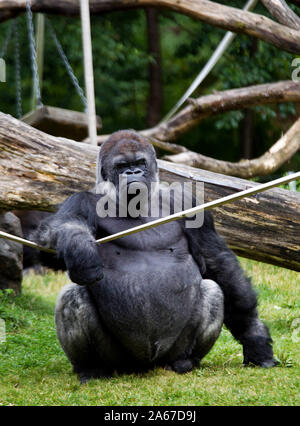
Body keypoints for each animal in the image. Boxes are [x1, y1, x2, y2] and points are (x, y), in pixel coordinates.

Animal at [33, 130, 276, 382]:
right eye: (122, 166)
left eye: (140, 163)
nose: (133, 173)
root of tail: (147, 366)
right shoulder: (80, 201)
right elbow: (55, 237)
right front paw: (81, 249)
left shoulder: (187, 203)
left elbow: (217, 263)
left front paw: (254, 337)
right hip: (119, 361)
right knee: (73, 295)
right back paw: (91, 368)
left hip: (169, 353)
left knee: (213, 291)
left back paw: (185, 362)